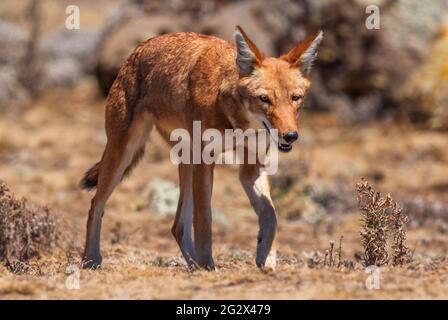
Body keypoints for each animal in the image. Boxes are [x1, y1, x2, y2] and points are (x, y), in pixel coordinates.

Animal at [79, 26, 322, 270]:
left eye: (295, 98)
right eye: (264, 99)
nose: (290, 136)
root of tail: (139, 48)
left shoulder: (251, 167)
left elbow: (271, 215)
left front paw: (267, 259)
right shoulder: (206, 161)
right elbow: (205, 219)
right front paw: (208, 266)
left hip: (185, 160)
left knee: (177, 226)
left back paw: (193, 266)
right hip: (123, 153)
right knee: (95, 204)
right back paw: (91, 260)